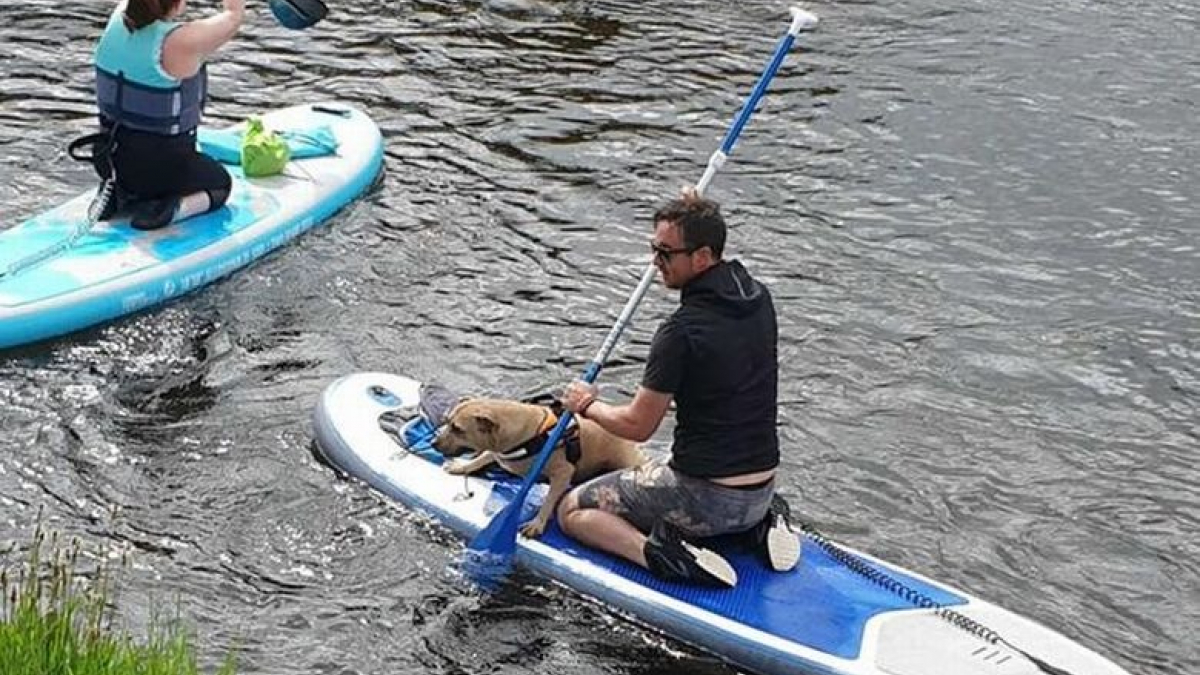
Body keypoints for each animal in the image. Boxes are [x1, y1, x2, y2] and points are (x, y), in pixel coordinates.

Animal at [427, 398, 643, 535]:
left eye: (458, 429)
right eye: (447, 421)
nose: (433, 443)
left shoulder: (563, 473)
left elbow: (549, 500)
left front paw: (538, 523)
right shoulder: (498, 452)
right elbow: (484, 457)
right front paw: (464, 466)